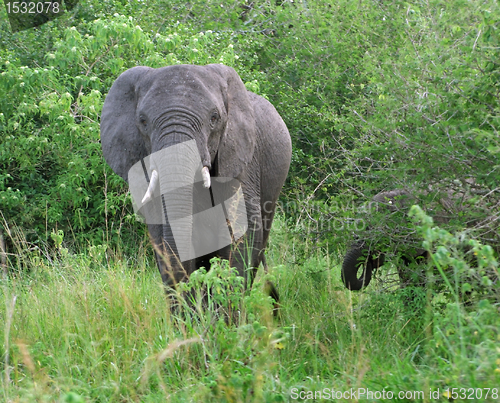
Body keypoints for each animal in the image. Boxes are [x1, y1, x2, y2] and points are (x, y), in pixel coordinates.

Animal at [99, 64, 292, 304]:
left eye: (214, 118)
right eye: (142, 121)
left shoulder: (240, 158)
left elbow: (242, 232)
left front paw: (225, 313)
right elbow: (162, 234)